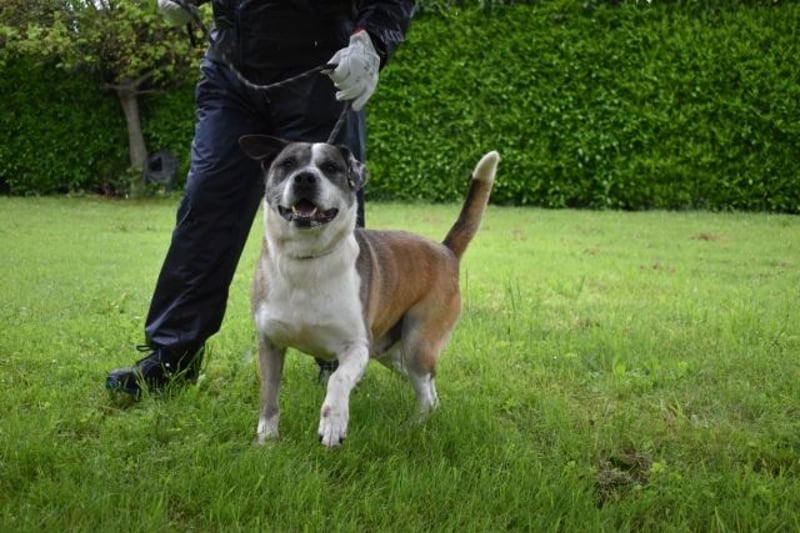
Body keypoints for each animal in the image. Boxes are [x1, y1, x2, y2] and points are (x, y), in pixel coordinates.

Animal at [239, 135, 499, 448]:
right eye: (287, 164)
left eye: (330, 167)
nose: (304, 178)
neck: (307, 259)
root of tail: (445, 250)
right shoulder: (270, 343)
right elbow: (269, 394)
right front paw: (266, 439)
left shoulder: (356, 347)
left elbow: (338, 379)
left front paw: (334, 423)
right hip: (390, 351)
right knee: (427, 385)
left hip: (417, 344)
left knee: (424, 389)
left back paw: (416, 425)